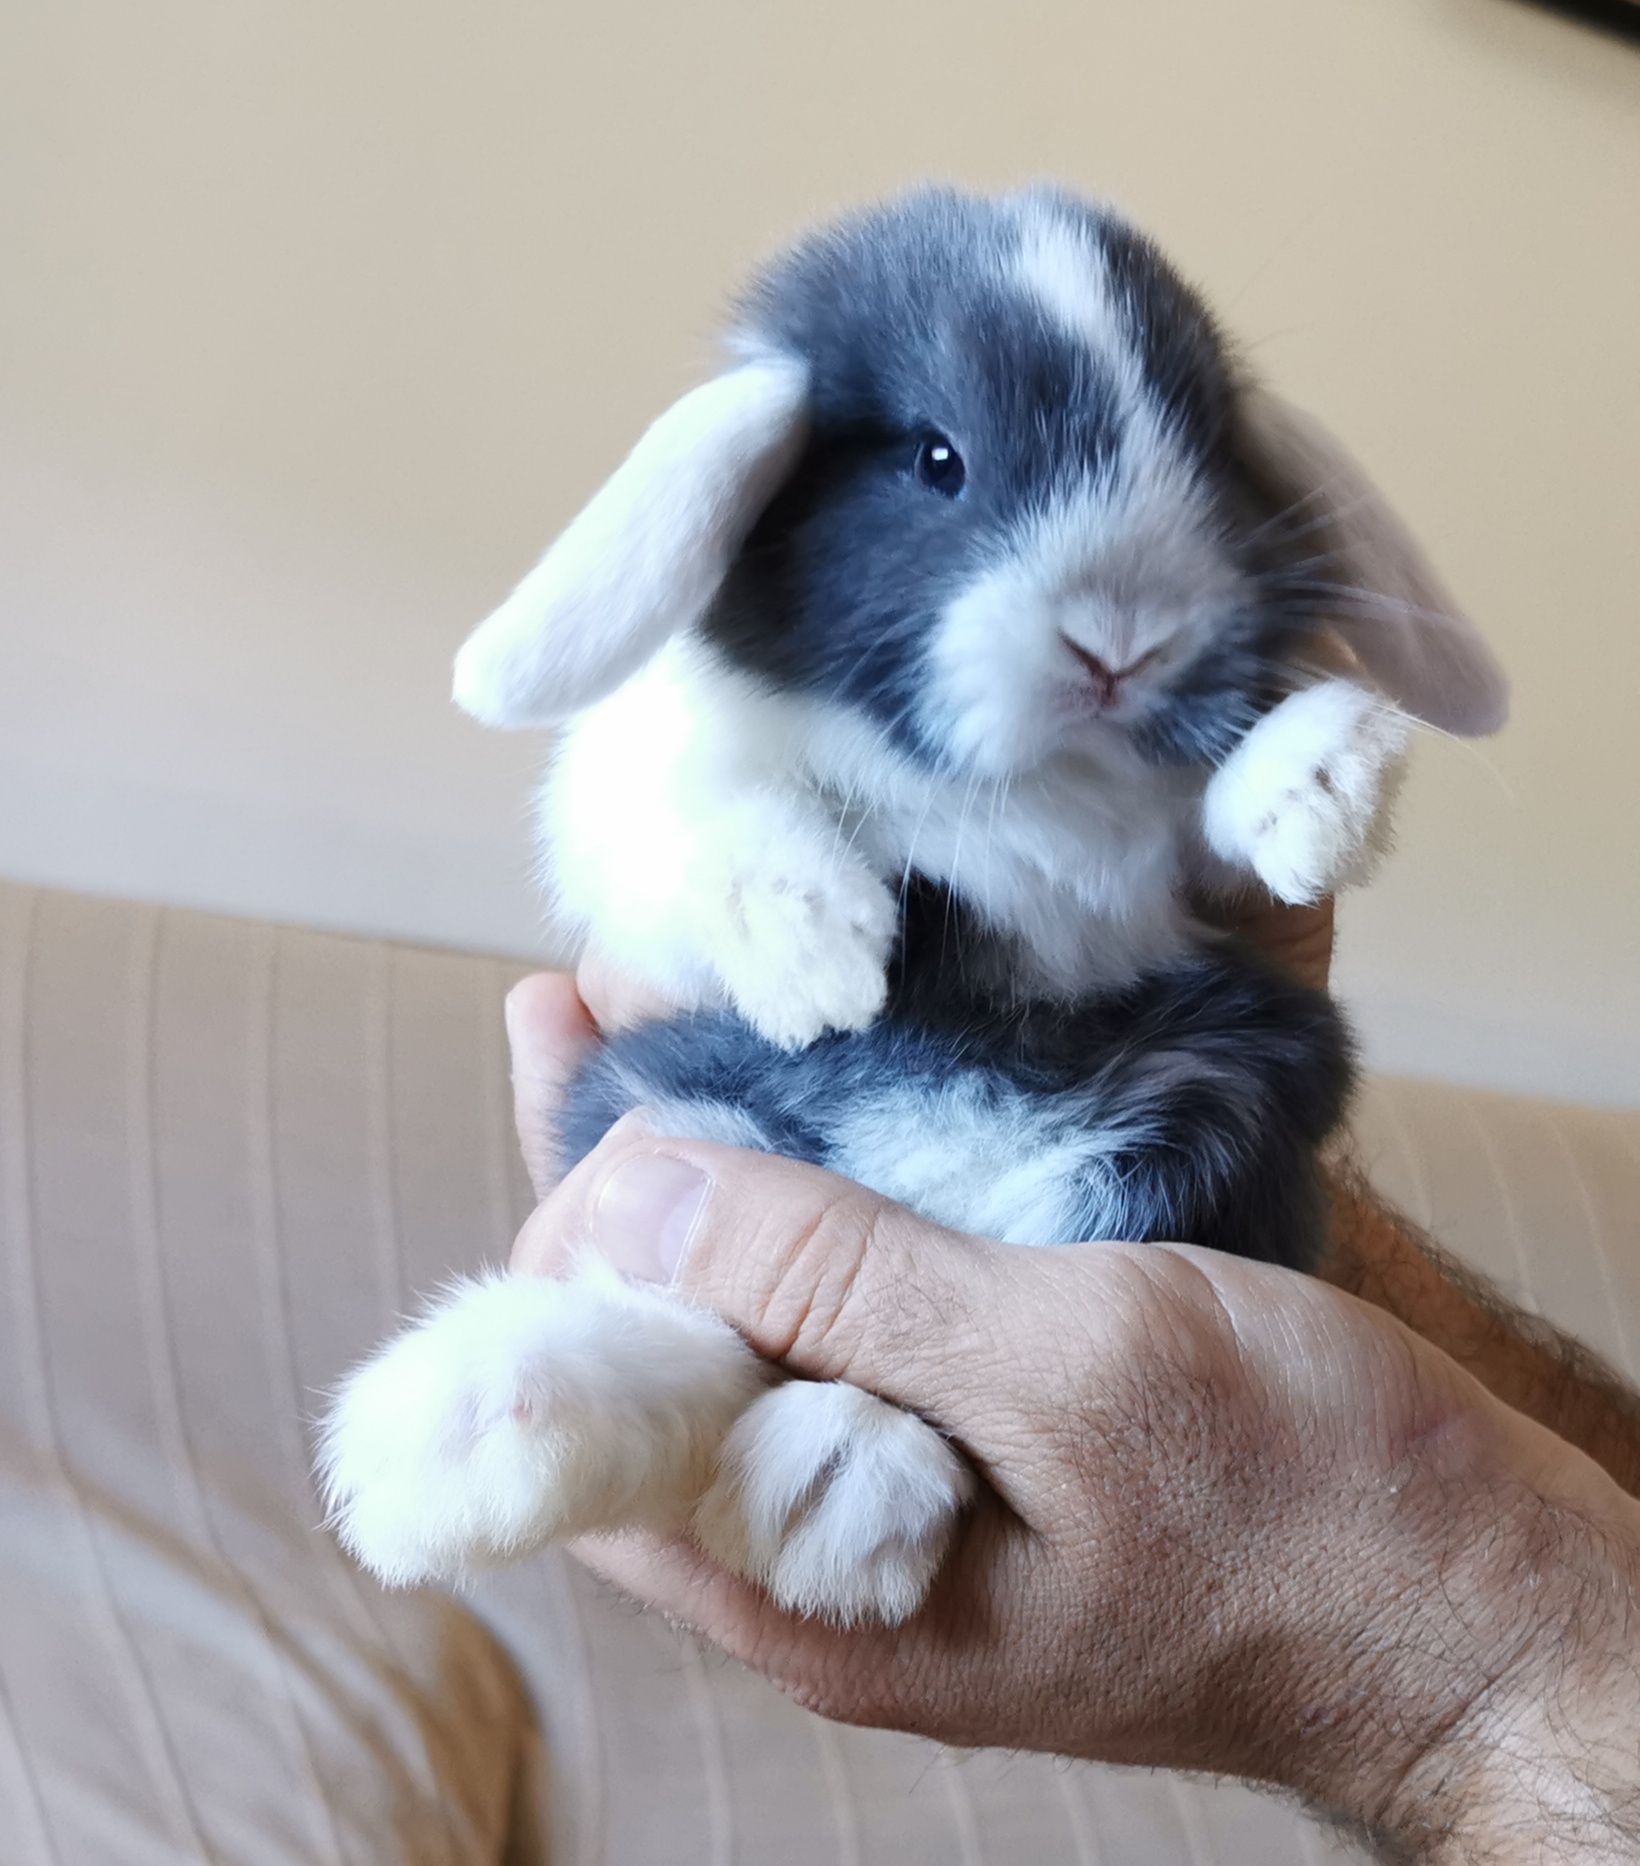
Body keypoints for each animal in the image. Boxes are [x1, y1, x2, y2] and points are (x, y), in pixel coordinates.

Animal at [313, 181, 1507, 1627]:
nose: (1123, 640)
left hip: (1188, 1132)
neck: (1020, 790)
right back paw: (474, 1432)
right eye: (939, 461)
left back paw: (833, 1485)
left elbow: (1222, 821)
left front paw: (1320, 781)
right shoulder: (636, 803)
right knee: (696, 1328)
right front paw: (818, 947)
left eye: (1205, 460)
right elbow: (702, 818)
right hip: (682, 1113)